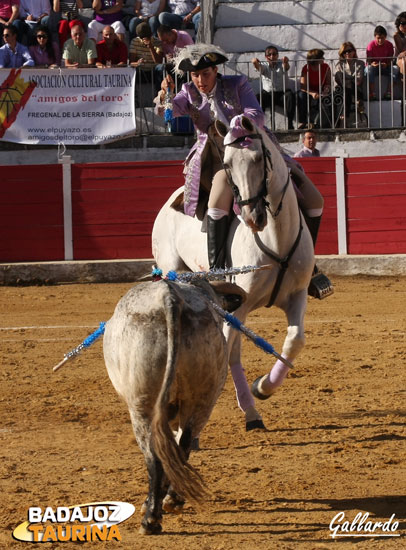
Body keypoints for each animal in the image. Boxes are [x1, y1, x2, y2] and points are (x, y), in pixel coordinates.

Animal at [152, 114, 314, 430]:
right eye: (226, 164)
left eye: (258, 157)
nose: (253, 217)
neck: (277, 238)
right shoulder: (241, 305)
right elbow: (224, 351)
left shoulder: (297, 294)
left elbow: (294, 340)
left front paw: (262, 387)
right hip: (176, 275)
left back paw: (251, 411)